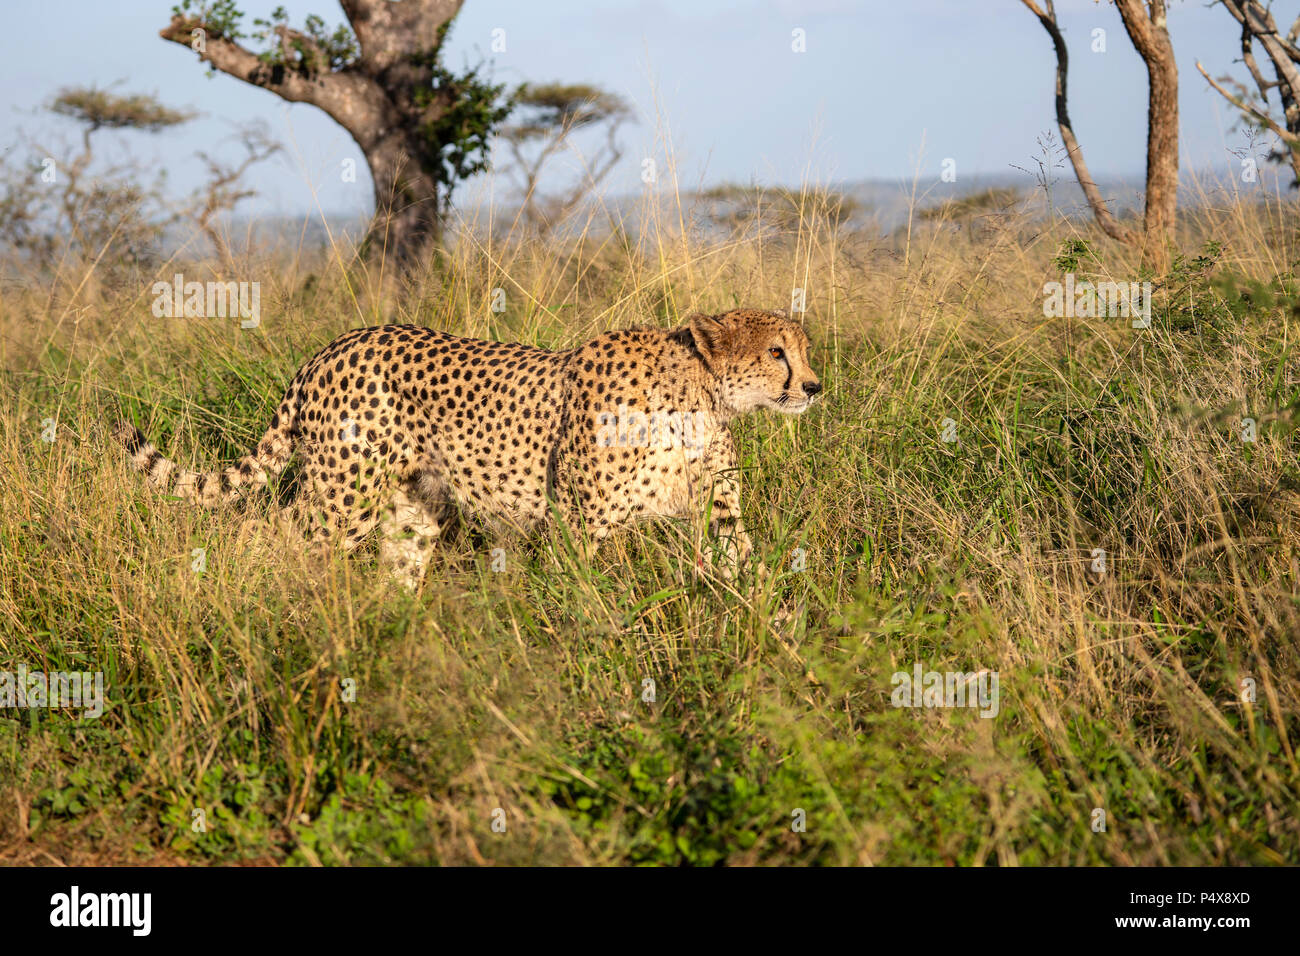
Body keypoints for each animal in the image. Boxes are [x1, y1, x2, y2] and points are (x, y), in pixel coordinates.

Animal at [114, 310, 821, 587]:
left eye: (803, 349)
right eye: (776, 352)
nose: (814, 386)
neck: (699, 394)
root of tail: (334, 345)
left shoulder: (718, 509)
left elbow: (744, 564)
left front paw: (779, 636)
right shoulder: (576, 521)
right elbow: (579, 596)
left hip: (412, 504)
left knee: (397, 565)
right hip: (343, 495)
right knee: (274, 536)